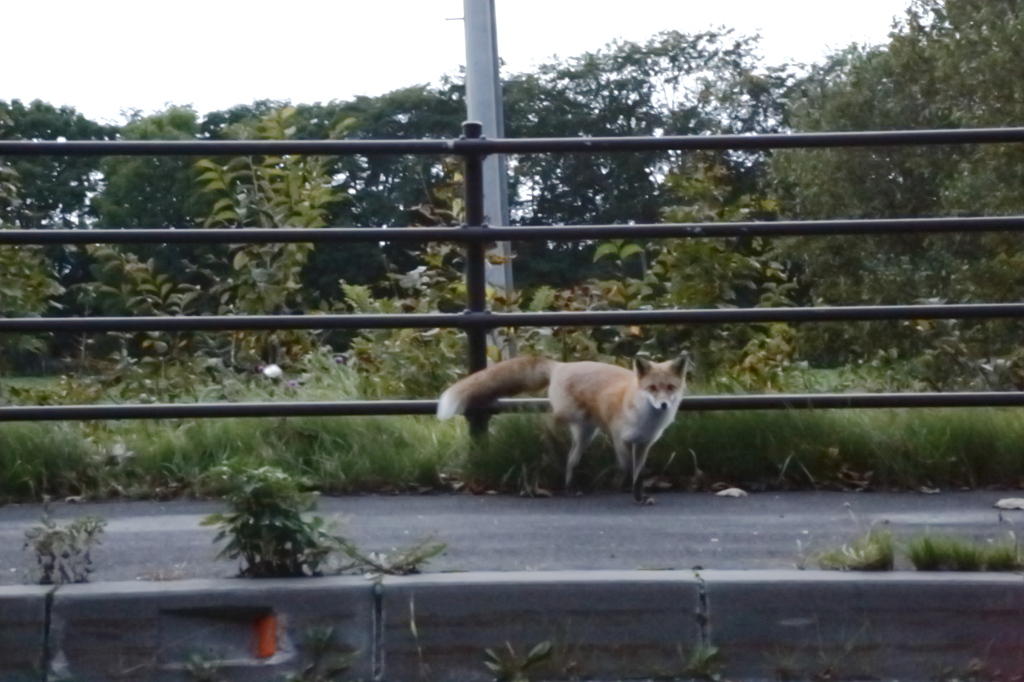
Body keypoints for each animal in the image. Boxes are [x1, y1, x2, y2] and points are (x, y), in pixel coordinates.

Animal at [438, 352, 688, 501]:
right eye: (652, 388)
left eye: (670, 388)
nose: (664, 405)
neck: (645, 417)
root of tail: (561, 365)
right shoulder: (619, 438)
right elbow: (626, 468)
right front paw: (619, 486)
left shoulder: (643, 444)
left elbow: (638, 474)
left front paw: (639, 495)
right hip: (570, 415)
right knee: (546, 422)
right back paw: (554, 447)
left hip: (586, 433)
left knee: (571, 460)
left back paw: (570, 487)